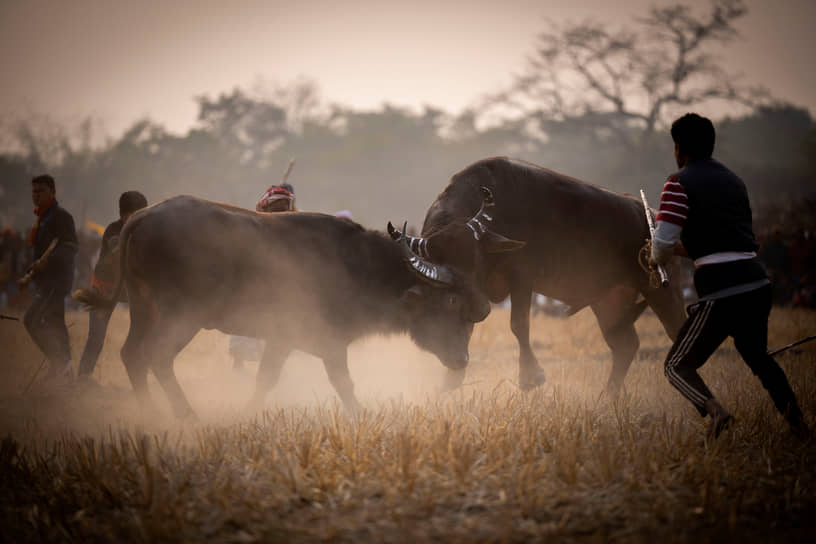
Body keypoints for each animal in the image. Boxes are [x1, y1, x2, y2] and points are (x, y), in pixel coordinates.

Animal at [82, 194, 488, 416]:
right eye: (451, 299)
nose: (462, 360)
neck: (356, 265)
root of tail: (140, 218)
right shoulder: (330, 342)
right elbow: (343, 382)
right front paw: (360, 414)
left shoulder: (281, 339)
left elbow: (266, 378)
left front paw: (247, 412)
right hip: (181, 315)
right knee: (157, 356)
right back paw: (185, 414)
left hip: (142, 306)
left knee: (132, 354)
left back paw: (150, 411)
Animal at [390, 156, 688, 392]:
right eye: (451, 292)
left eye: (475, 260)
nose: (483, 309)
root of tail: (652, 216)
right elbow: (467, 330)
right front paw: (451, 381)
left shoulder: (522, 277)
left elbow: (519, 324)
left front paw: (530, 376)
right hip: (609, 301)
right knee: (625, 345)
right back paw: (608, 397)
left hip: (662, 290)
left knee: (675, 330)